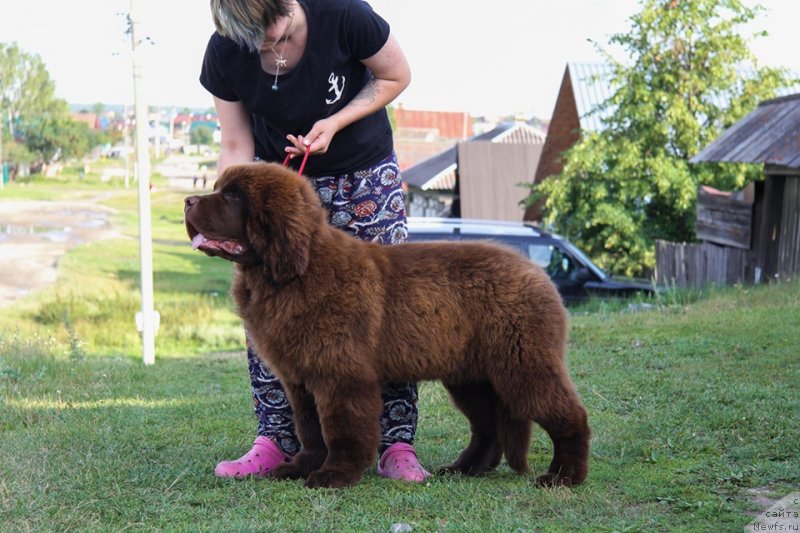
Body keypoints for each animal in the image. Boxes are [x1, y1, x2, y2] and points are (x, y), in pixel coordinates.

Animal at [184, 161, 592, 486]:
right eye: (218, 188)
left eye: (232, 197)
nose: (188, 201)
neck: (295, 272)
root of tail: (537, 273)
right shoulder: (300, 378)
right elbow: (310, 430)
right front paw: (300, 468)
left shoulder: (341, 375)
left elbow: (341, 430)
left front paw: (335, 475)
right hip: (471, 376)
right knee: (487, 428)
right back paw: (464, 469)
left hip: (522, 364)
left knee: (569, 416)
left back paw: (564, 476)